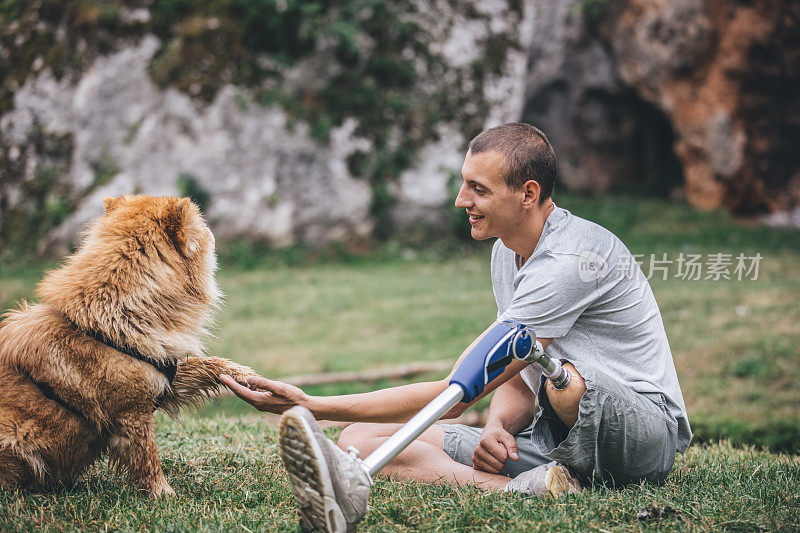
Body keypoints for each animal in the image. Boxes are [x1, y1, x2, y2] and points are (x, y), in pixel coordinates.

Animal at [0, 194, 256, 494]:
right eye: (202, 227)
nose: (212, 230)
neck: (115, 315)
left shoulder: (163, 375)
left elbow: (206, 365)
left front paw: (242, 375)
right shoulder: (133, 412)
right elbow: (147, 458)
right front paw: (162, 495)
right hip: (15, 436)